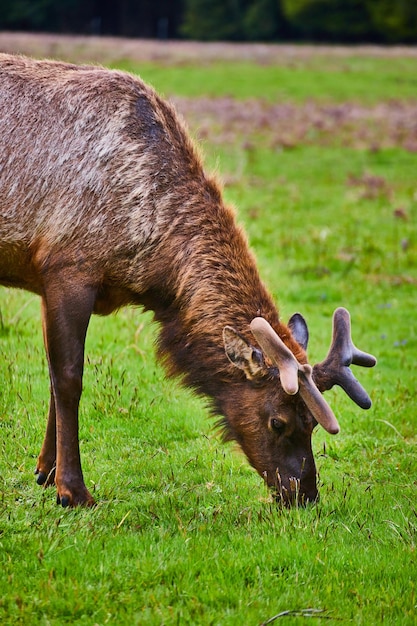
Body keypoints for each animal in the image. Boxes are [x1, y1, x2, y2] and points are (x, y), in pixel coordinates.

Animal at [0, 51, 376, 504]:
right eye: (278, 421)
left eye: (314, 423)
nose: (303, 493)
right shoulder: (68, 267)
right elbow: (69, 379)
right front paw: (72, 490)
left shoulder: (50, 281)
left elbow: (56, 384)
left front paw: (45, 470)